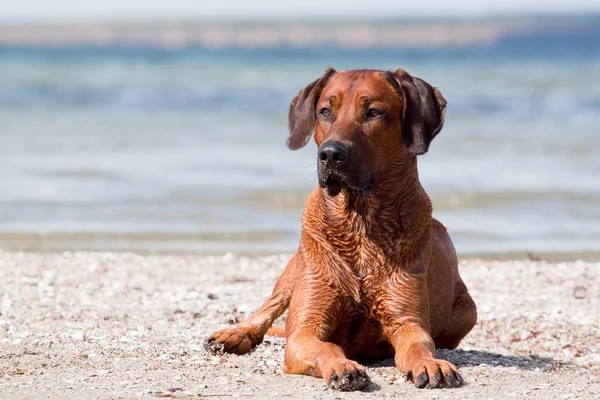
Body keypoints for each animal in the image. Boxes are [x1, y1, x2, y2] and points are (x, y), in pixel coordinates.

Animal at [206, 68, 478, 390]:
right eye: (325, 111)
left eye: (373, 112)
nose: (330, 155)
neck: (360, 223)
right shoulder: (306, 328)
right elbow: (325, 345)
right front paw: (342, 365)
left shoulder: (407, 321)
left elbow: (417, 345)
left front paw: (430, 362)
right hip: (296, 266)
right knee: (267, 309)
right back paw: (235, 334)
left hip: (467, 312)